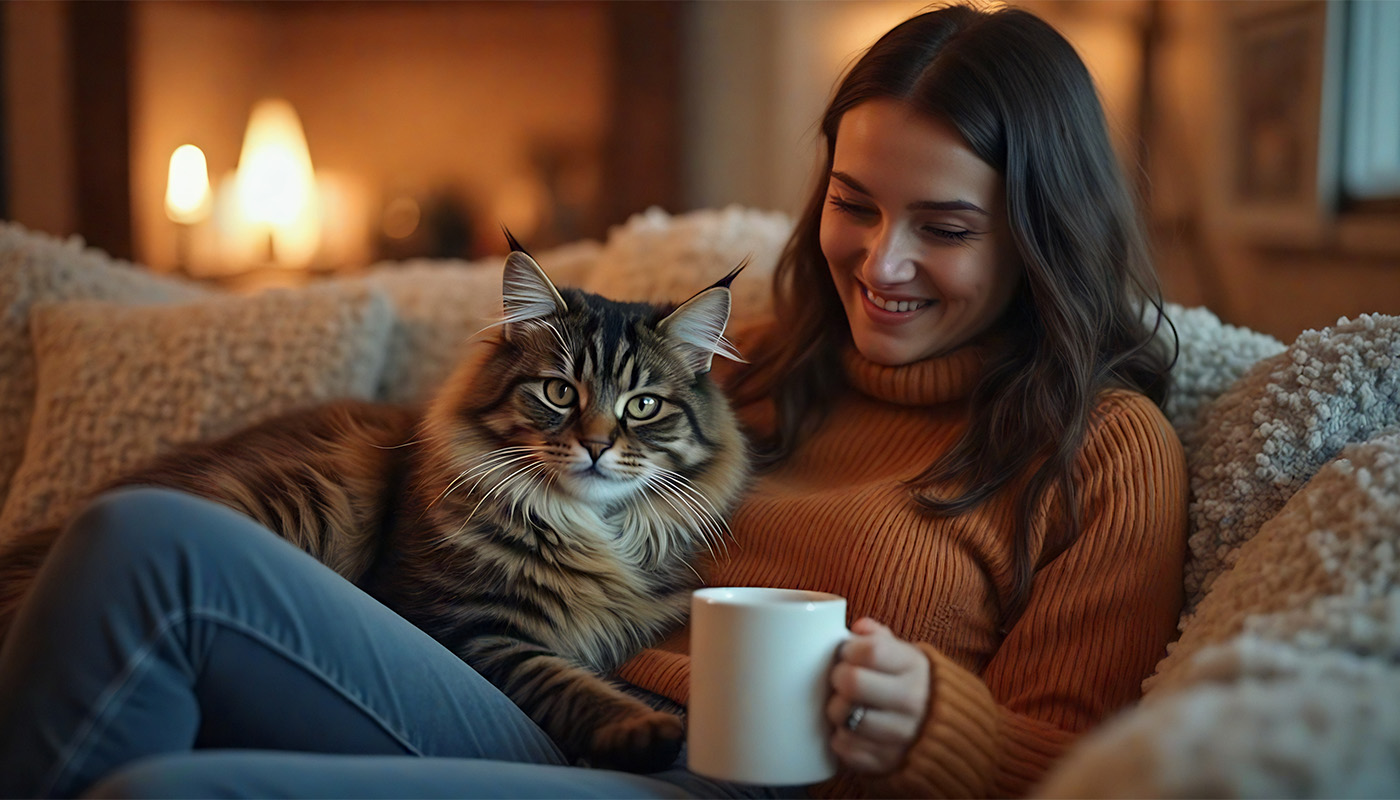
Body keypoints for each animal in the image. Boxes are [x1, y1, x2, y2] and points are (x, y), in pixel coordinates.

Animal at [0, 247, 756, 773]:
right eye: (560, 393)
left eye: (643, 405)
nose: (597, 445)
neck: (587, 529)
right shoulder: (467, 628)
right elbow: (565, 682)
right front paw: (644, 732)